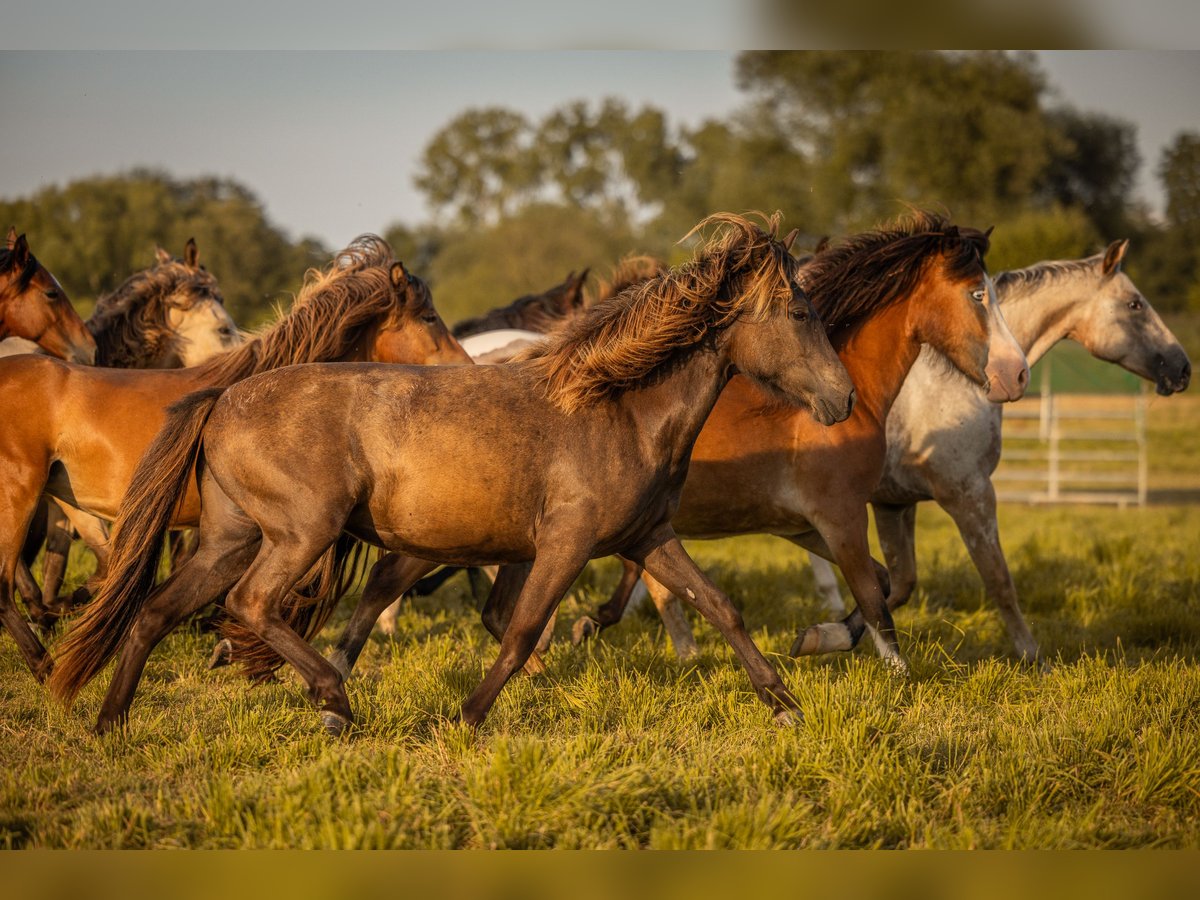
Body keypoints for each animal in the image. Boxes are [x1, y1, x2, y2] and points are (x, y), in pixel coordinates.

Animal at [51, 214, 859, 734]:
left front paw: (786, 705)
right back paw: (334, 699)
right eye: (798, 311)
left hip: (231, 538)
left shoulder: (647, 537)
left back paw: (110, 725)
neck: (618, 409)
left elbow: (721, 608)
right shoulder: (564, 545)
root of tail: (222, 397)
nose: (843, 398)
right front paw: (467, 718)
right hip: (300, 534)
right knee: (249, 606)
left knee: (155, 611)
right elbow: (523, 630)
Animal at [564, 213, 1032, 672]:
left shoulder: (802, 525)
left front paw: (815, 637)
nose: (1016, 374)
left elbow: (882, 584)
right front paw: (889, 672)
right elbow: (876, 605)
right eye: (977, 295)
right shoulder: (842, 518)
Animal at [796, 237, 1190, 662]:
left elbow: (897, 585)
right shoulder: (970, 495)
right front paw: (1034, 658)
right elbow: (998, 580)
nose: (1183, 368)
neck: (954, 381)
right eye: (1135, 304)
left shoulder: (893, 503)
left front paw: (825, 636)